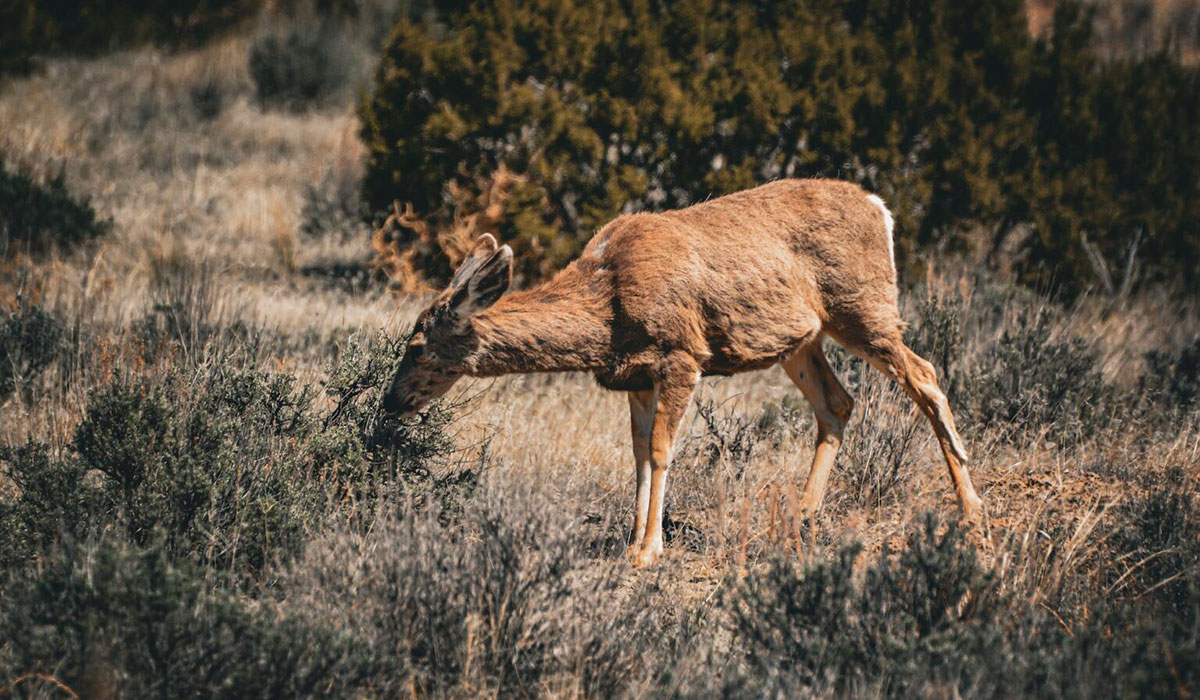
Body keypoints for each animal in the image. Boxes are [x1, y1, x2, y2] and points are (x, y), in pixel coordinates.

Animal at [381, 178, 982, 567]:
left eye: (416, 347)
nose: (390, 403)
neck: (607, 305)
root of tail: (881, 209)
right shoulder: (636, 376)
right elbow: (638, 453)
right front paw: (631, 542)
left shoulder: (681, 355)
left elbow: (662, 450)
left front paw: (649, 551)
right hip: (800, 338)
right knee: (838, 404)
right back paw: (802, 519)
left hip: (862, 306)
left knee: (925, 375)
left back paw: (971, 514)